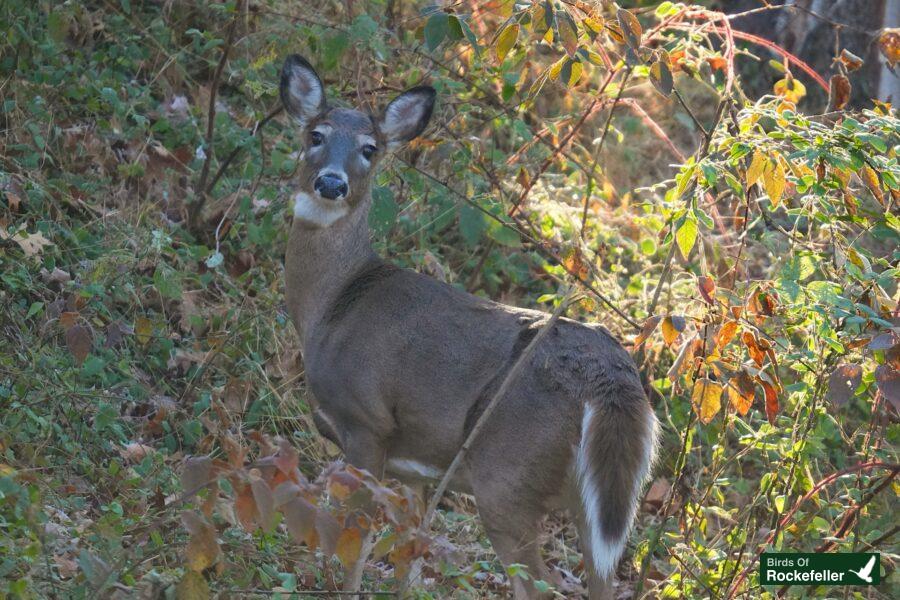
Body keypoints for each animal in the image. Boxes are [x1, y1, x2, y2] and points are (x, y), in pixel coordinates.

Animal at [278, 54, 656, 596]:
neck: (332, 305)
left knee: (538, 582)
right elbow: (408, 555)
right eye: (315, 134)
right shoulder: (414, 466)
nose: (331, 183)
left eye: (370, 149)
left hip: (506, 479)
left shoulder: (366, 423)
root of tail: (611, 382)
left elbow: (358, 542)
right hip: (600, 504)